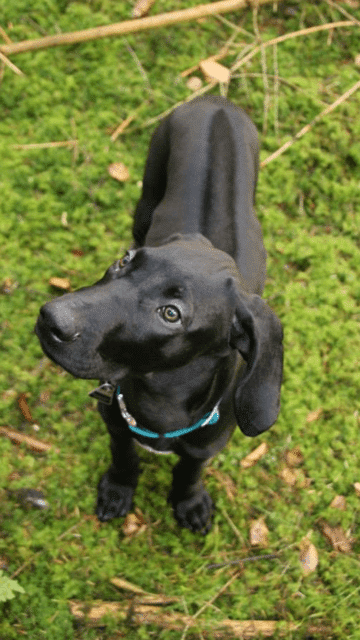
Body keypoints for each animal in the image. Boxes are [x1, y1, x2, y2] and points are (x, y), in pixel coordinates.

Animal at [35, 96, 282, 536]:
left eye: (171, 314)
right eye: (124, 261)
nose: (51, 319)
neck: (161, 398)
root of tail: (216, 102)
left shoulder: (205, 446)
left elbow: (189, 470)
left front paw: (188, 501)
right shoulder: (114, 420)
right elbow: (124, 456)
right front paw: (118, 488)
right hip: (149, 185)